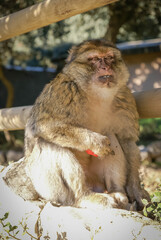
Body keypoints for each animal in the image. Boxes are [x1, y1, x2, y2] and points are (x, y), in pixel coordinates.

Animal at [3, 39, 150, 210]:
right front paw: (97, 142)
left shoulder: (125, 96)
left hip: (96, 180)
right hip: (48, 188)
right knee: (47, 142)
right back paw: (84, 197)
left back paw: (116, 192)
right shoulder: (64, 90)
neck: (97, 94)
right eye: (94, 59)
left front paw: (135, 189)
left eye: (109, 58)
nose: (105, 67)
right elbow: (41, 126)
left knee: (111, 135)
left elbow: (127, 141)